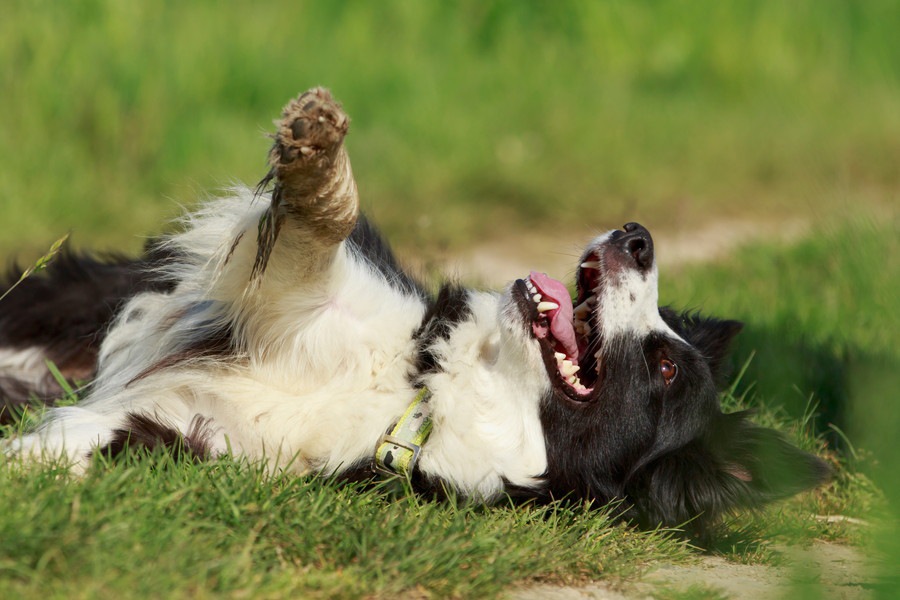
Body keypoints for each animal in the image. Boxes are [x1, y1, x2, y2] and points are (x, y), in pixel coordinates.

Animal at [1, 88, 828, 536]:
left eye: (663, 367)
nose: (639, 237)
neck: (414, 401)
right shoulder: (307, 296)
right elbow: (315, 237)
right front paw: (317, 159)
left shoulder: (190, 443)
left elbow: (70, 452)